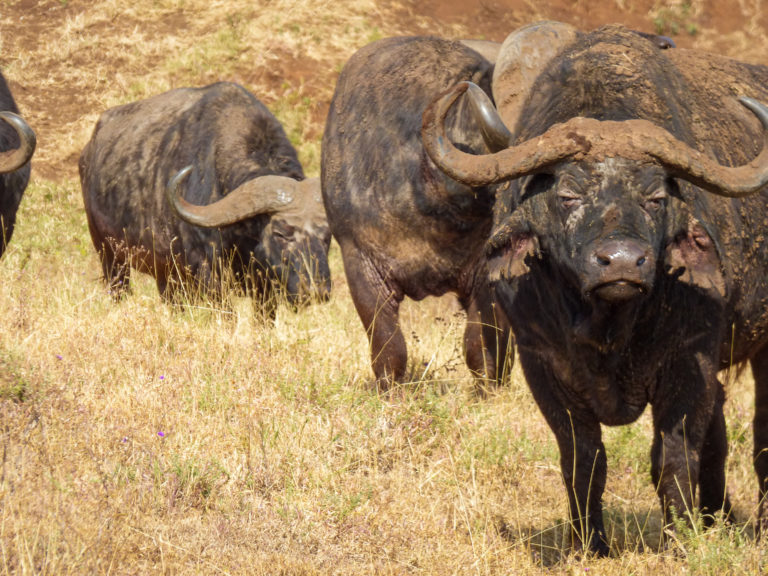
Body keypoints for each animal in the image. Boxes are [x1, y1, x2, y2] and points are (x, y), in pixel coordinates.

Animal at [80, 81, 330, 310]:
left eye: (327, 236)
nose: (317, 290)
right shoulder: (210, 279)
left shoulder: (264, 288)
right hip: (110, 255)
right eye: (280, 233)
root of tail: (88, 151)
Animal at [424, 24, 768, 556]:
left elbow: (673, 458)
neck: (609, 328)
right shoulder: (543, 368)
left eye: (655, 197)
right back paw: (719, 517)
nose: (622, 262)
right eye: (567, 195)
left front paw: (679, 541)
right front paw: (588, 543)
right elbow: (584, 462)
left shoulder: (689, 361)